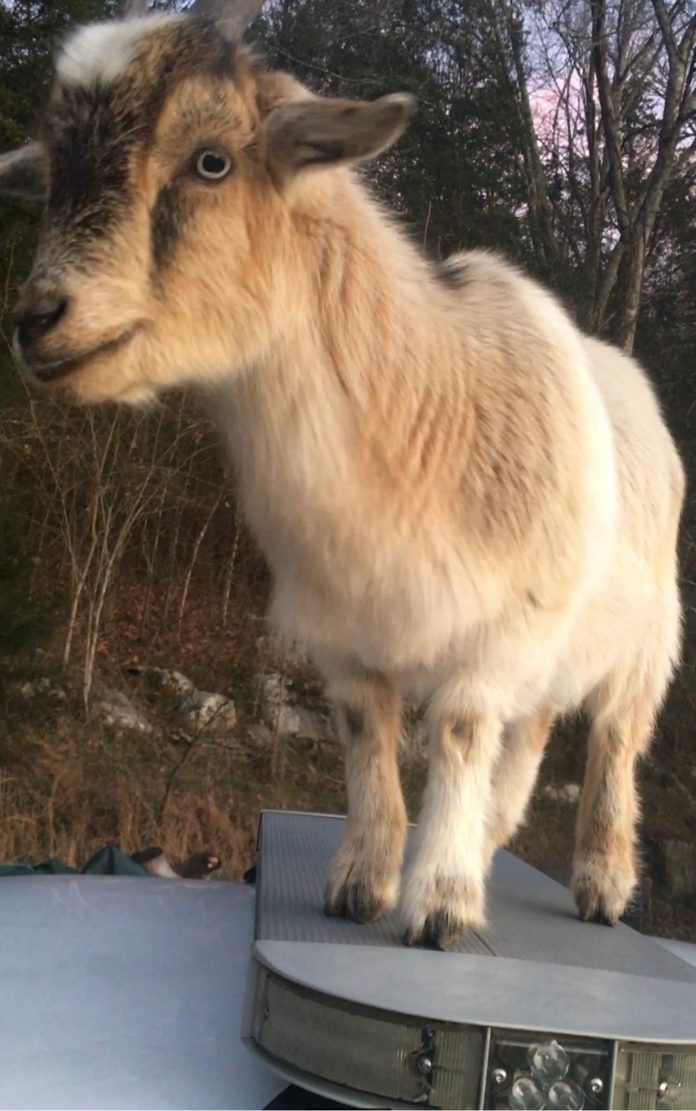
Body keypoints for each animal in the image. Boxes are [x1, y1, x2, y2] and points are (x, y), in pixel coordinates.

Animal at [0, 0, 684, 949]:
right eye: (55, 170)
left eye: (211, 160)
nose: (38, 321)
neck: (419, 407)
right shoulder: (346, 632)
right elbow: (367, 738)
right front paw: (361, 882)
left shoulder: (498, 629)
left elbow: (460, 733)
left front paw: (440, 903)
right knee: (536, 727)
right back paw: (495, 833)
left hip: (646, 641)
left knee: (616, 743)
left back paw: (602, 883)